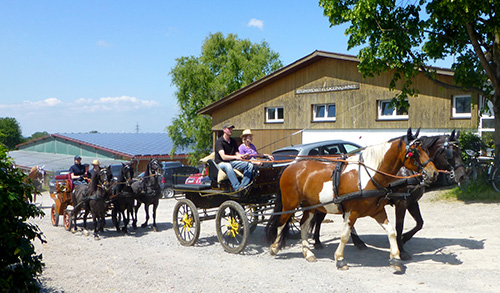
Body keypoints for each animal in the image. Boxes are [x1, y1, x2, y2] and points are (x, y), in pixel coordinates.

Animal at [266, 128, 438, 272]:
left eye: (426, 150)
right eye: (415, 152)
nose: (434, 173)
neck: (368, 176)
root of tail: (290, 166)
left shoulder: (377, 211)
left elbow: (392, 231)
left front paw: (396, 259)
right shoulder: (352, 212)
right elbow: (345, 235)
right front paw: (340, 259)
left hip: (311, 206)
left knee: (303, 225)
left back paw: (307, 253)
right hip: (290, 203)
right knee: (281, 222)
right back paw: (274, 247)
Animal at [310, 129, 466, 258]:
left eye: (460, 152)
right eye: (450, 153)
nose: (463, 176)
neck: (406, 171)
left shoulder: (412, 201)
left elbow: (420, 223)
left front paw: (404, 238)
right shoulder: (401, 202)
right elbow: (400, 225)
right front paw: (401, 248)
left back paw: (356, 242)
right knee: (320, 217)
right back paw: (318, 241)